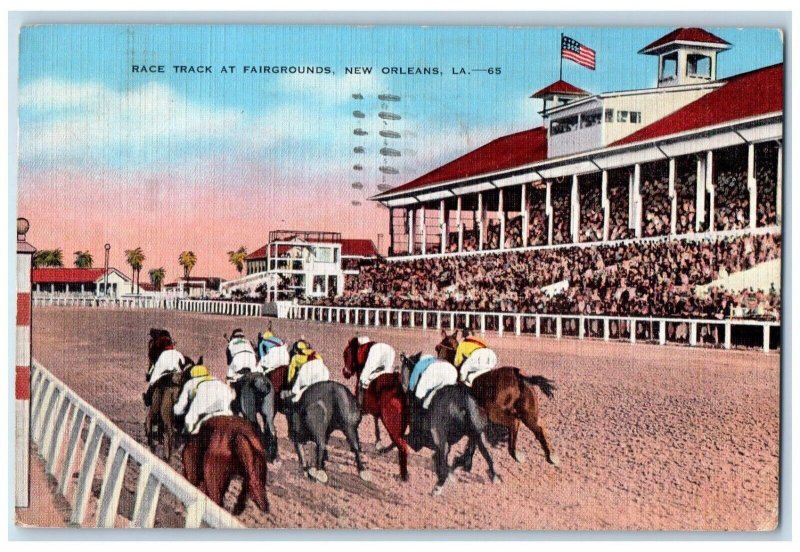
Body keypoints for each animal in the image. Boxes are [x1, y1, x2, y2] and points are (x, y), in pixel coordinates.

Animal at [342, 334, 410, 480]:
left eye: (346, 354)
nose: (345, 372)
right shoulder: (376, 411)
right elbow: (376, 423)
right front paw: (378, 443)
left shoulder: (361, 408)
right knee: (398, 441)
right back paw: (384, 450)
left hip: (391, 423)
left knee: (402, 445)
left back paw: (403, 474)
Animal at [396, 354, 496, 496]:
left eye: (402, 369)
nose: (403, 386)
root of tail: (464, 402)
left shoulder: (420, 436)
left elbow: (402, 439)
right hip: (477, 433)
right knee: (484, 453)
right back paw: (493, 475)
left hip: (441, 436)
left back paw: (438, 487)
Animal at [434, 328, 560, 466]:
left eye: (438, 348)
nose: (438, 361)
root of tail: (519, 377)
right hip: (528, 412)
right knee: (538, 429)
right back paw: (550, 456)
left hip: (494, 412)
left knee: (514, 421)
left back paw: (516, 453)